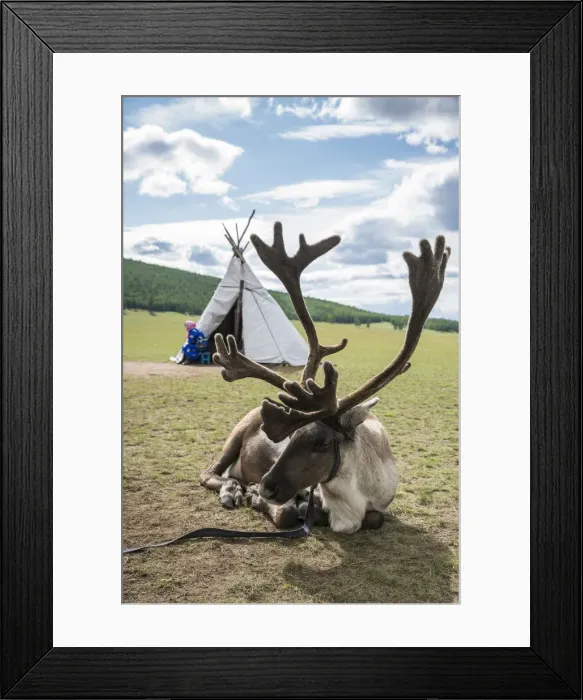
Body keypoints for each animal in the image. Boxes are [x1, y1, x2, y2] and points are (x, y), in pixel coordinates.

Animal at [200, 222, 450, 534]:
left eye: (322, 444)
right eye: (290, 437)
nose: (266, 485)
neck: (351, 506)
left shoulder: (377, 506)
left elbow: (375, 518)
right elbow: (286, 513)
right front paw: (257, 497)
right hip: (236, 433)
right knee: (208, 472)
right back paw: (232, 490)